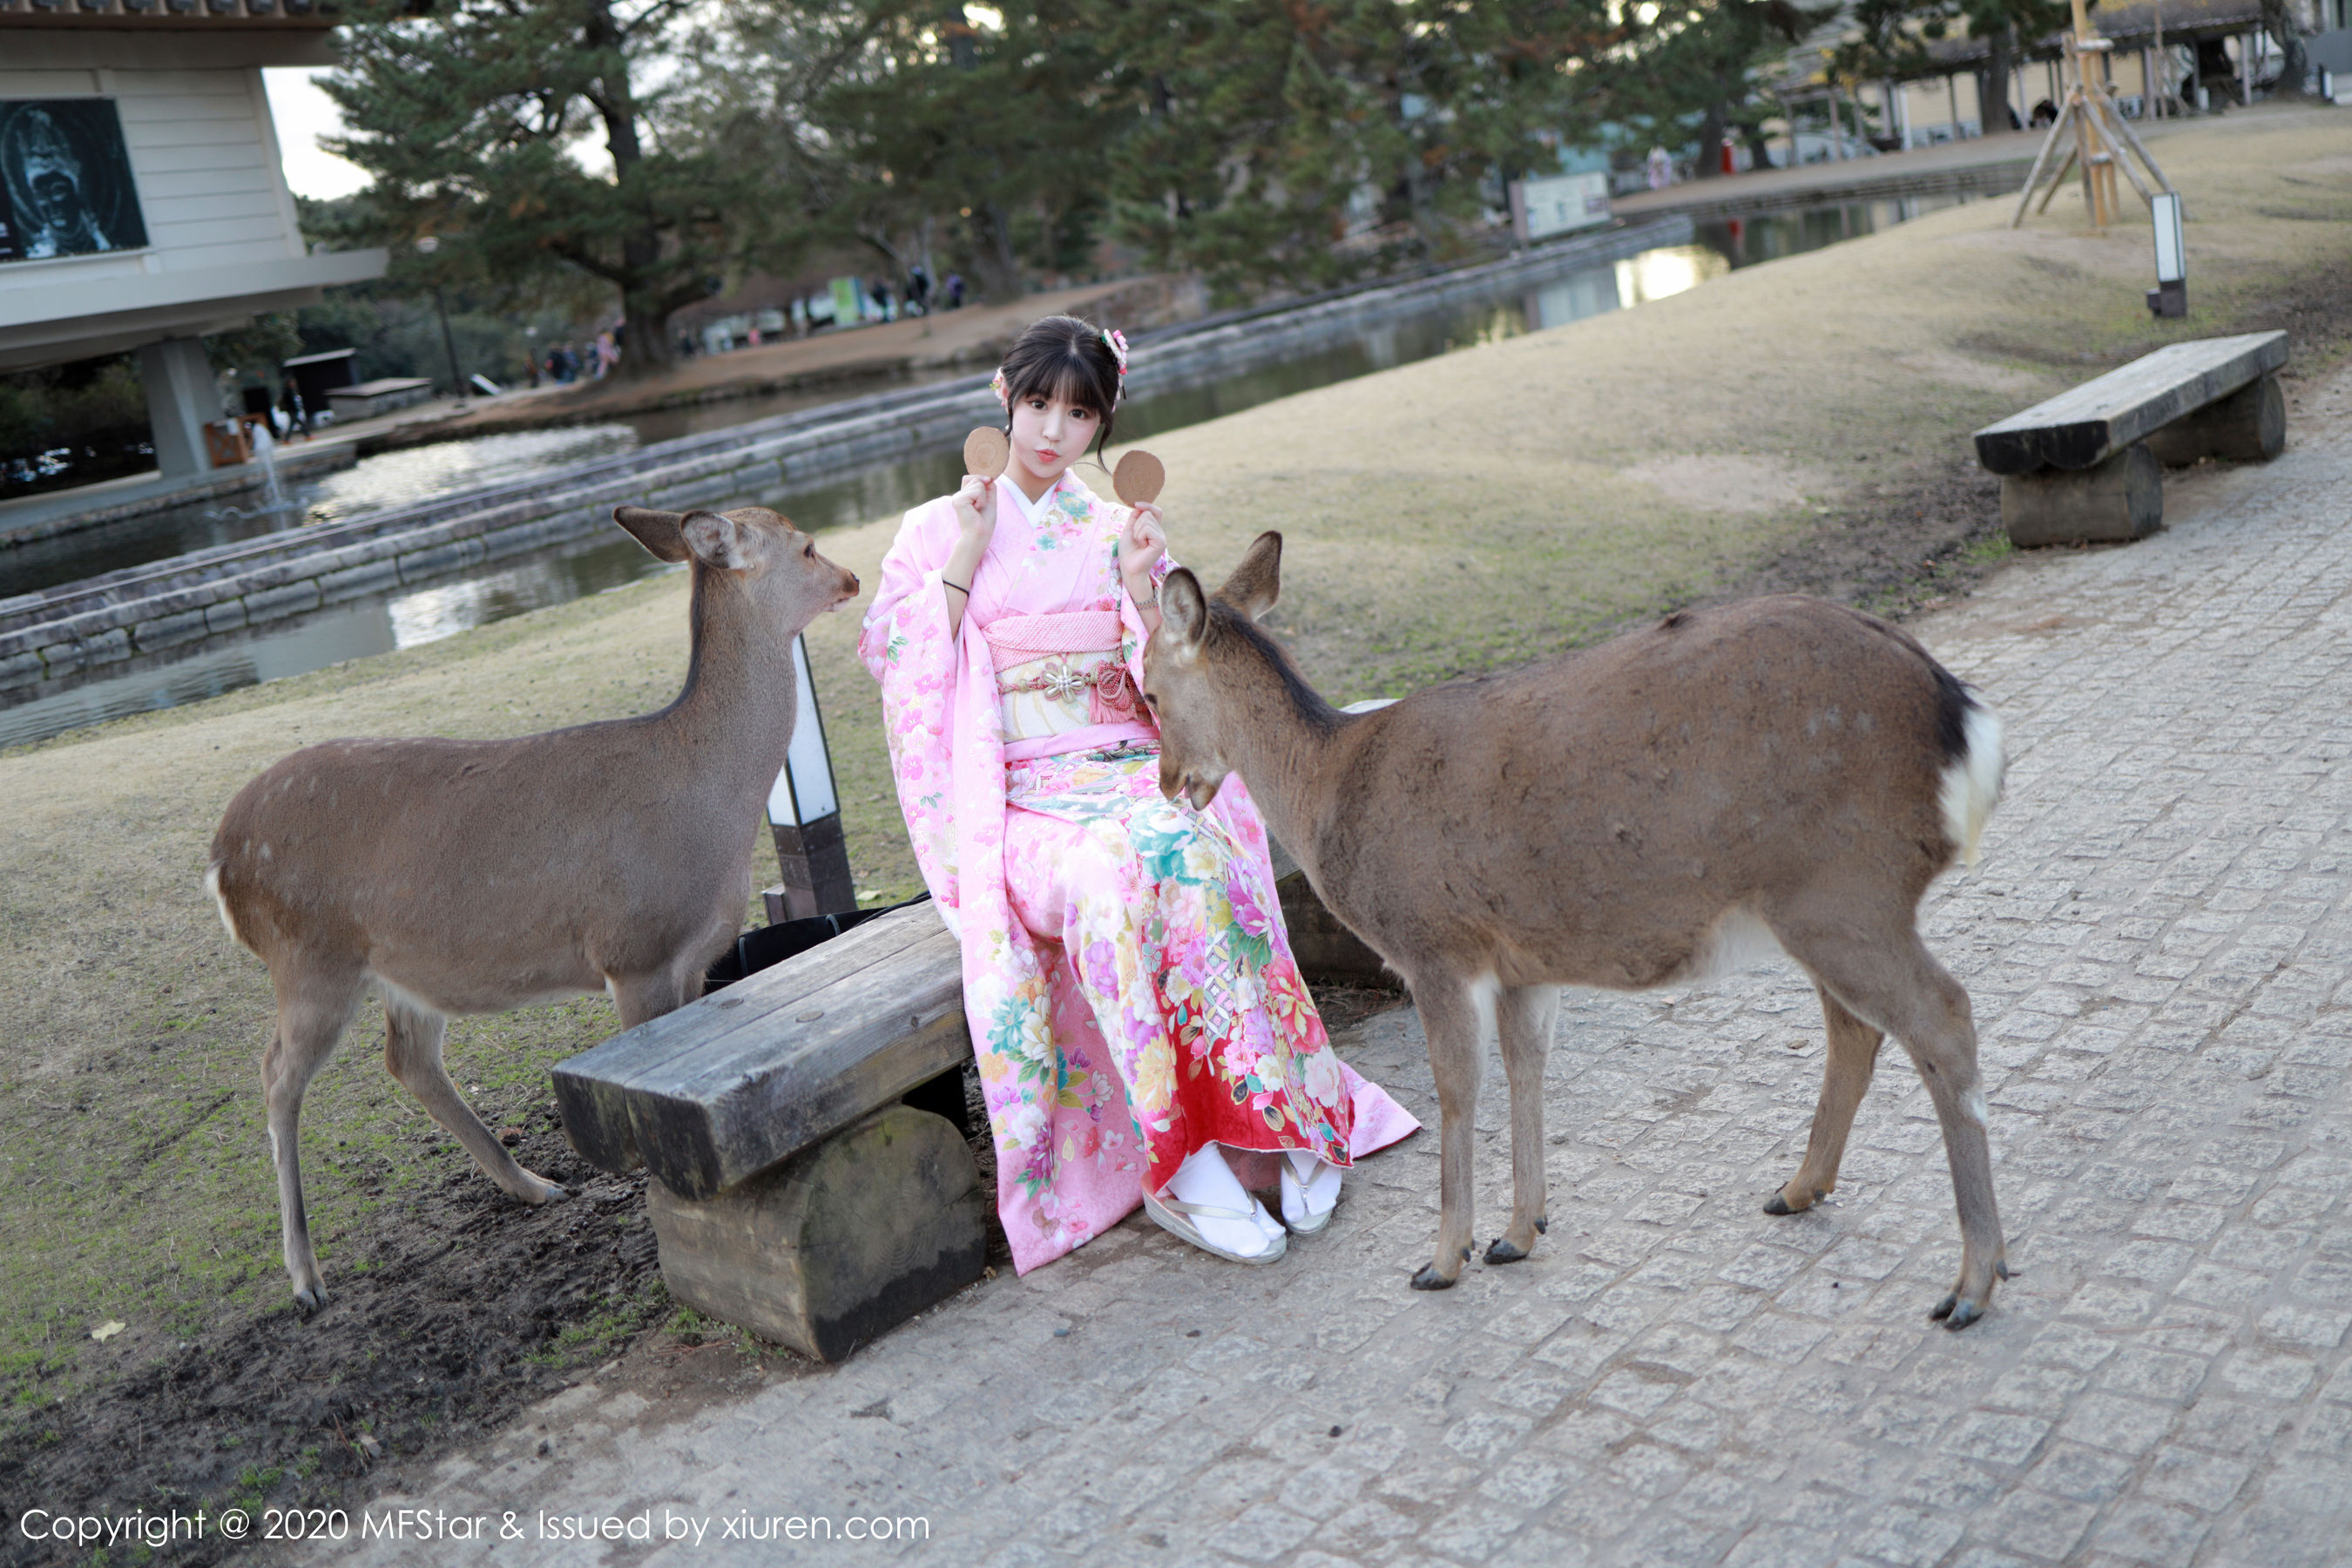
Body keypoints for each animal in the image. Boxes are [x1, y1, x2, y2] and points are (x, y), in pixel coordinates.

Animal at [206, 510, 861, 1307]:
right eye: (806, 546)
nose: (852, 576)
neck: (711, 806)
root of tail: (220, 858)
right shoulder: (633, 947)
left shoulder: (695, 956)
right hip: (306, 955)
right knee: (276, 1074)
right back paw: (305, 1278)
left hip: (401, 966)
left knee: (407, 1059)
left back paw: (533, 1185)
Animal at [1138, 533, 2004, 1335]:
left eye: (1145, 685)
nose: (1171, 781)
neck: (1326, 790)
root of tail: (1962, 718)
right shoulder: (1522, 961)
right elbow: (1529, 1068)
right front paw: (1519, 1232)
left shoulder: (1434, 945)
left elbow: (1458, 1088)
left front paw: (1443, 1257)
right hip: (1822, 901)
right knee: (1857, 1027)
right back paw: (1799, 1189)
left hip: (1844, 886)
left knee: (1943, 1016)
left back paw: (1971, 1283)